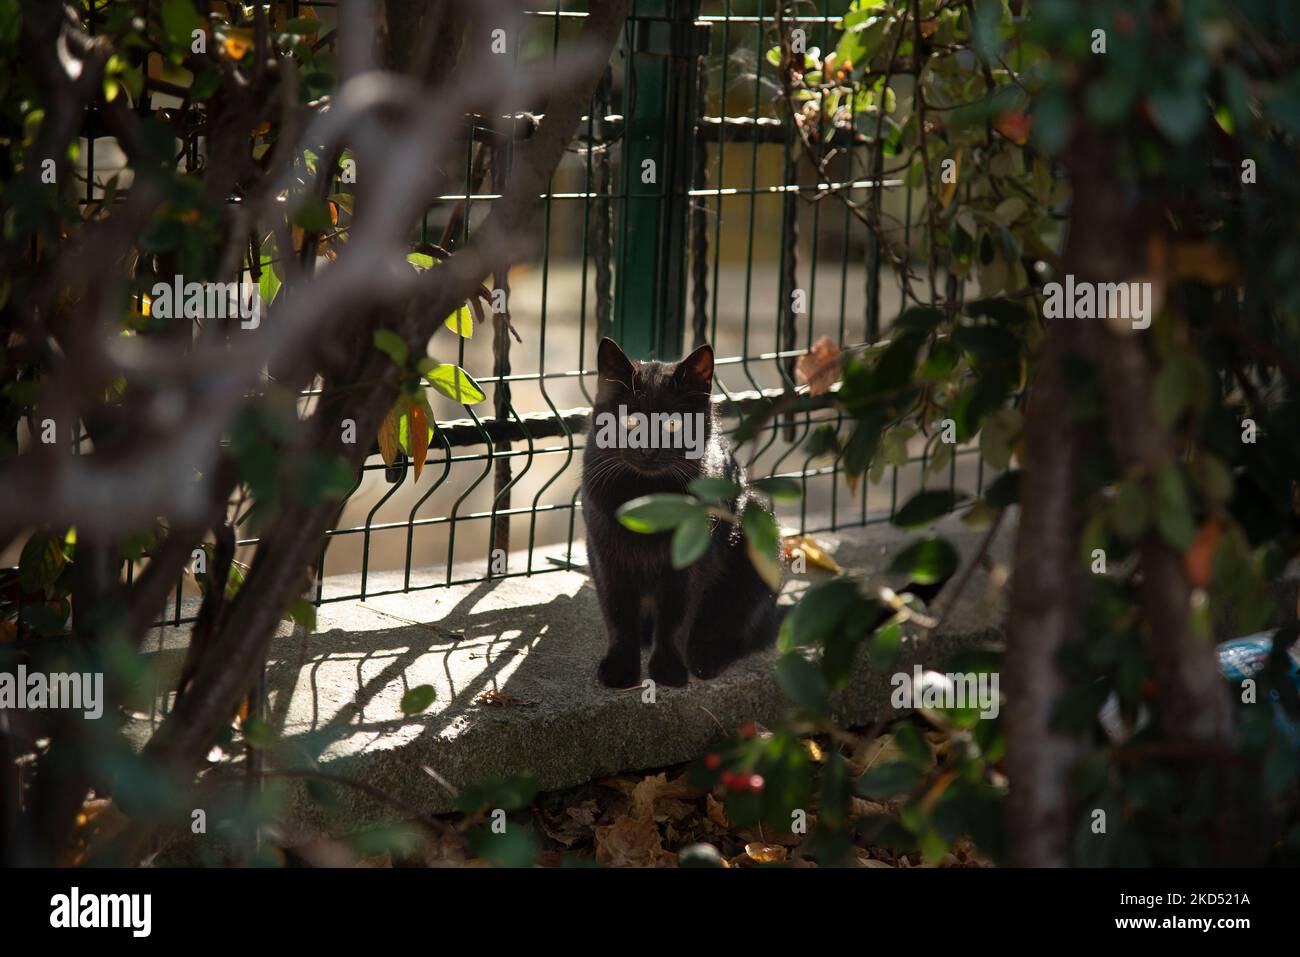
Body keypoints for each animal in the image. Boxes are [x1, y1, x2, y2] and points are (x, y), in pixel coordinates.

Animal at [582, 335, 780, 686]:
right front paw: (620, 669)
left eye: (673, 424)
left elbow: (677, 617)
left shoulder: (692, 562)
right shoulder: (605, 556)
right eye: (630, 420)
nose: (648, 449)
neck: (648, 501)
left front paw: (668, 670)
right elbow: (617, 614)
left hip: (758, 527)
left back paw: (705, 658)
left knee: (742, 633)